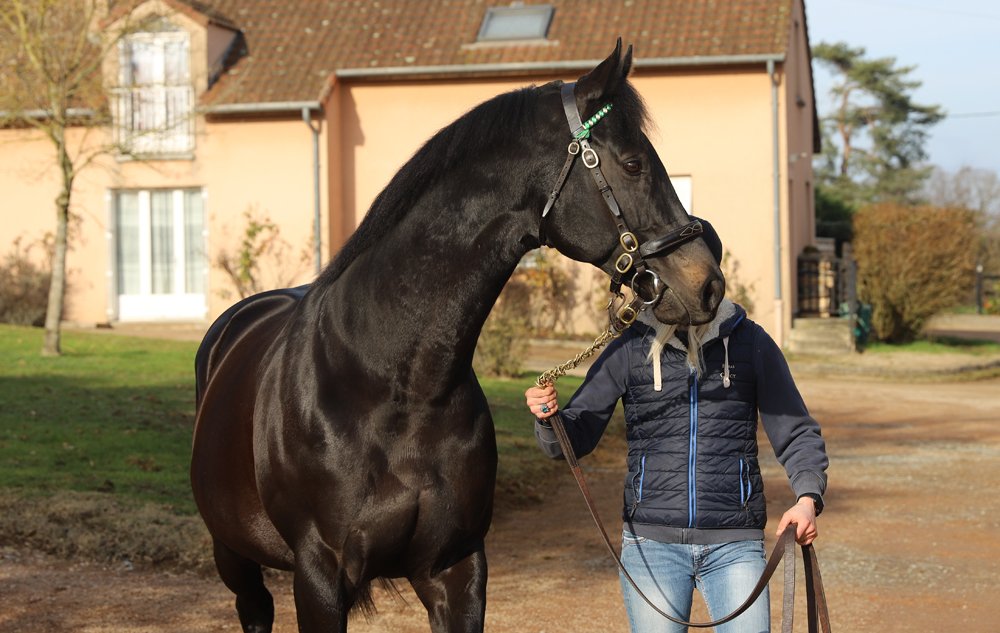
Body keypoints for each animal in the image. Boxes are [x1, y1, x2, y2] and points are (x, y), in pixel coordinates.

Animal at [191, 40, 725, 633]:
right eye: (633, 164)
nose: (708, 284)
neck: (393, 386)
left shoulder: (457, 568)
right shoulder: (319, 578)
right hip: (233, 555)